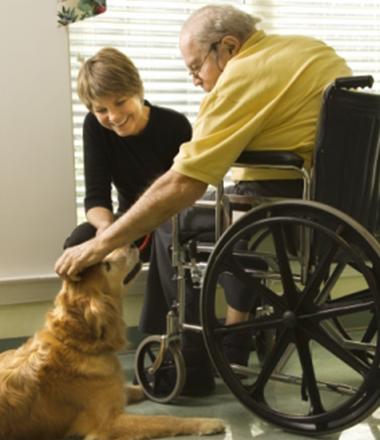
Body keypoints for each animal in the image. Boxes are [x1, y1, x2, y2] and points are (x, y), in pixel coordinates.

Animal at [0, 244, 226, 440]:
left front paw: (158, 384)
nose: (132, 244)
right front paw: (206, 423)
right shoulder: (108, 424)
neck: (77, 345)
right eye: (107, 266)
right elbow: (166, 420)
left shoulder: (115, 392)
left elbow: (136, 389)